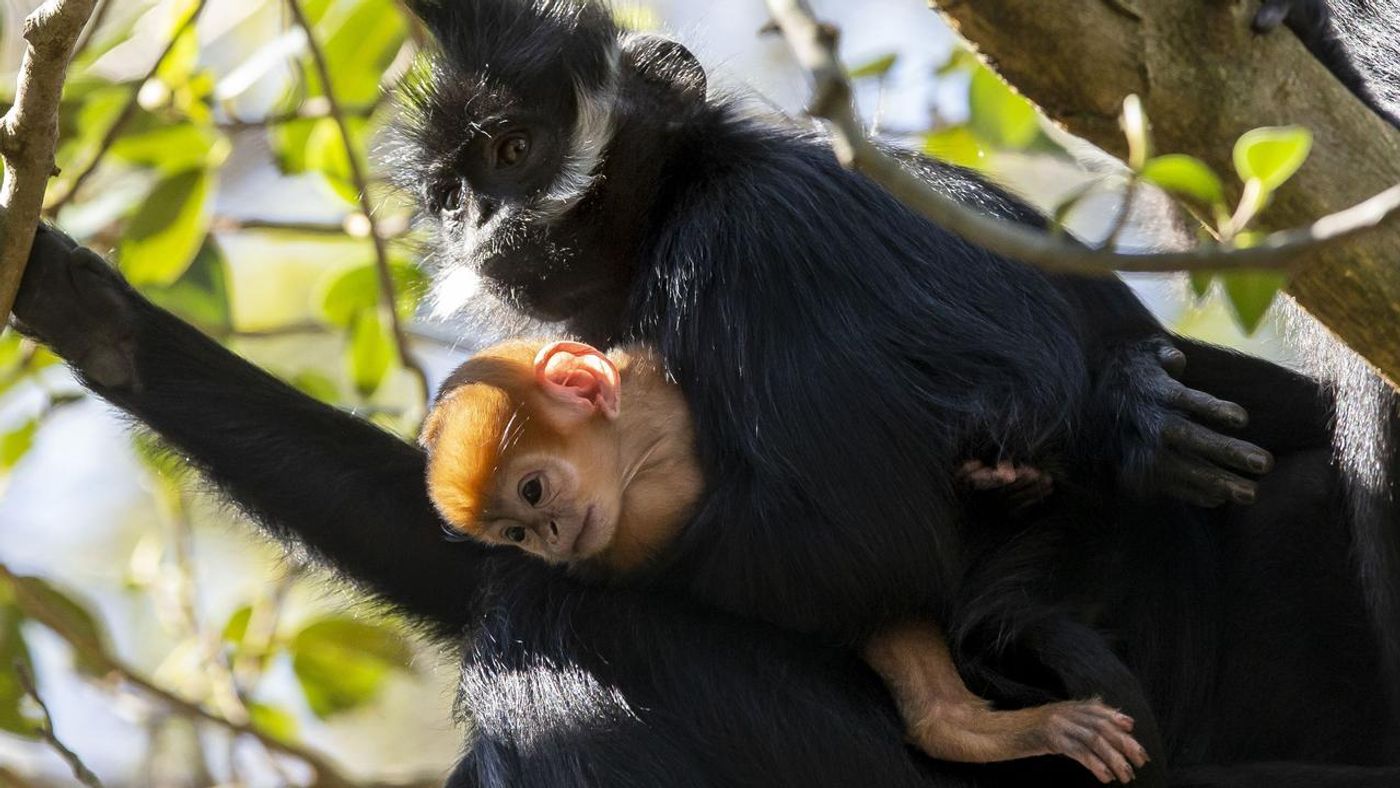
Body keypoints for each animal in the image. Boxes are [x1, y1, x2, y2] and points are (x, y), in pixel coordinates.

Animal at [422, 340, 1148, 783]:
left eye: (532, 491)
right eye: (514, 532)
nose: (548, 536)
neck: (647, 449)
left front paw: (1002, 479)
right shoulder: (638, 522)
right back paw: (964, 725)